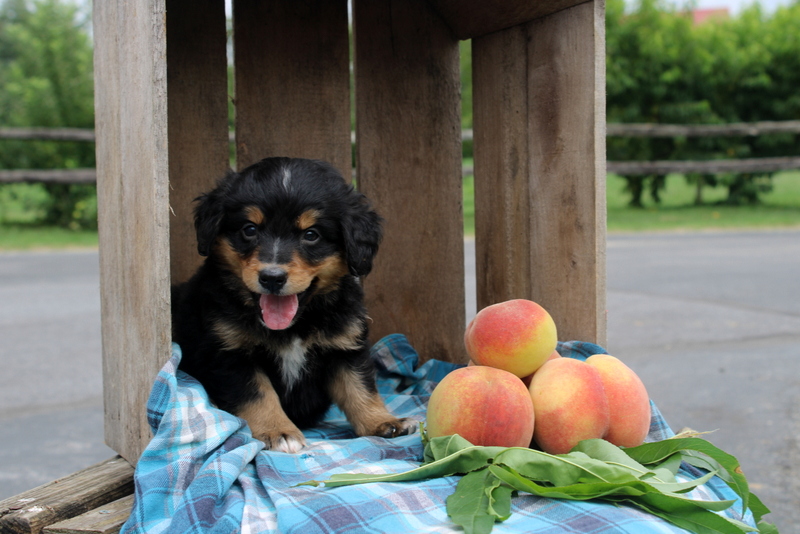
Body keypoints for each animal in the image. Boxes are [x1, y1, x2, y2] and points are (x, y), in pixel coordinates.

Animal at [173, 157, 416, 454]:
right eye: (249, 230)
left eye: (311, 235)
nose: (272, 278)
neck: (294, 326)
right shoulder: (229, 354)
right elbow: (259, 394)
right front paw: (278, 431)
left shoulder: (345, 347)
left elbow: (359, 387)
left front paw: (382, 422)